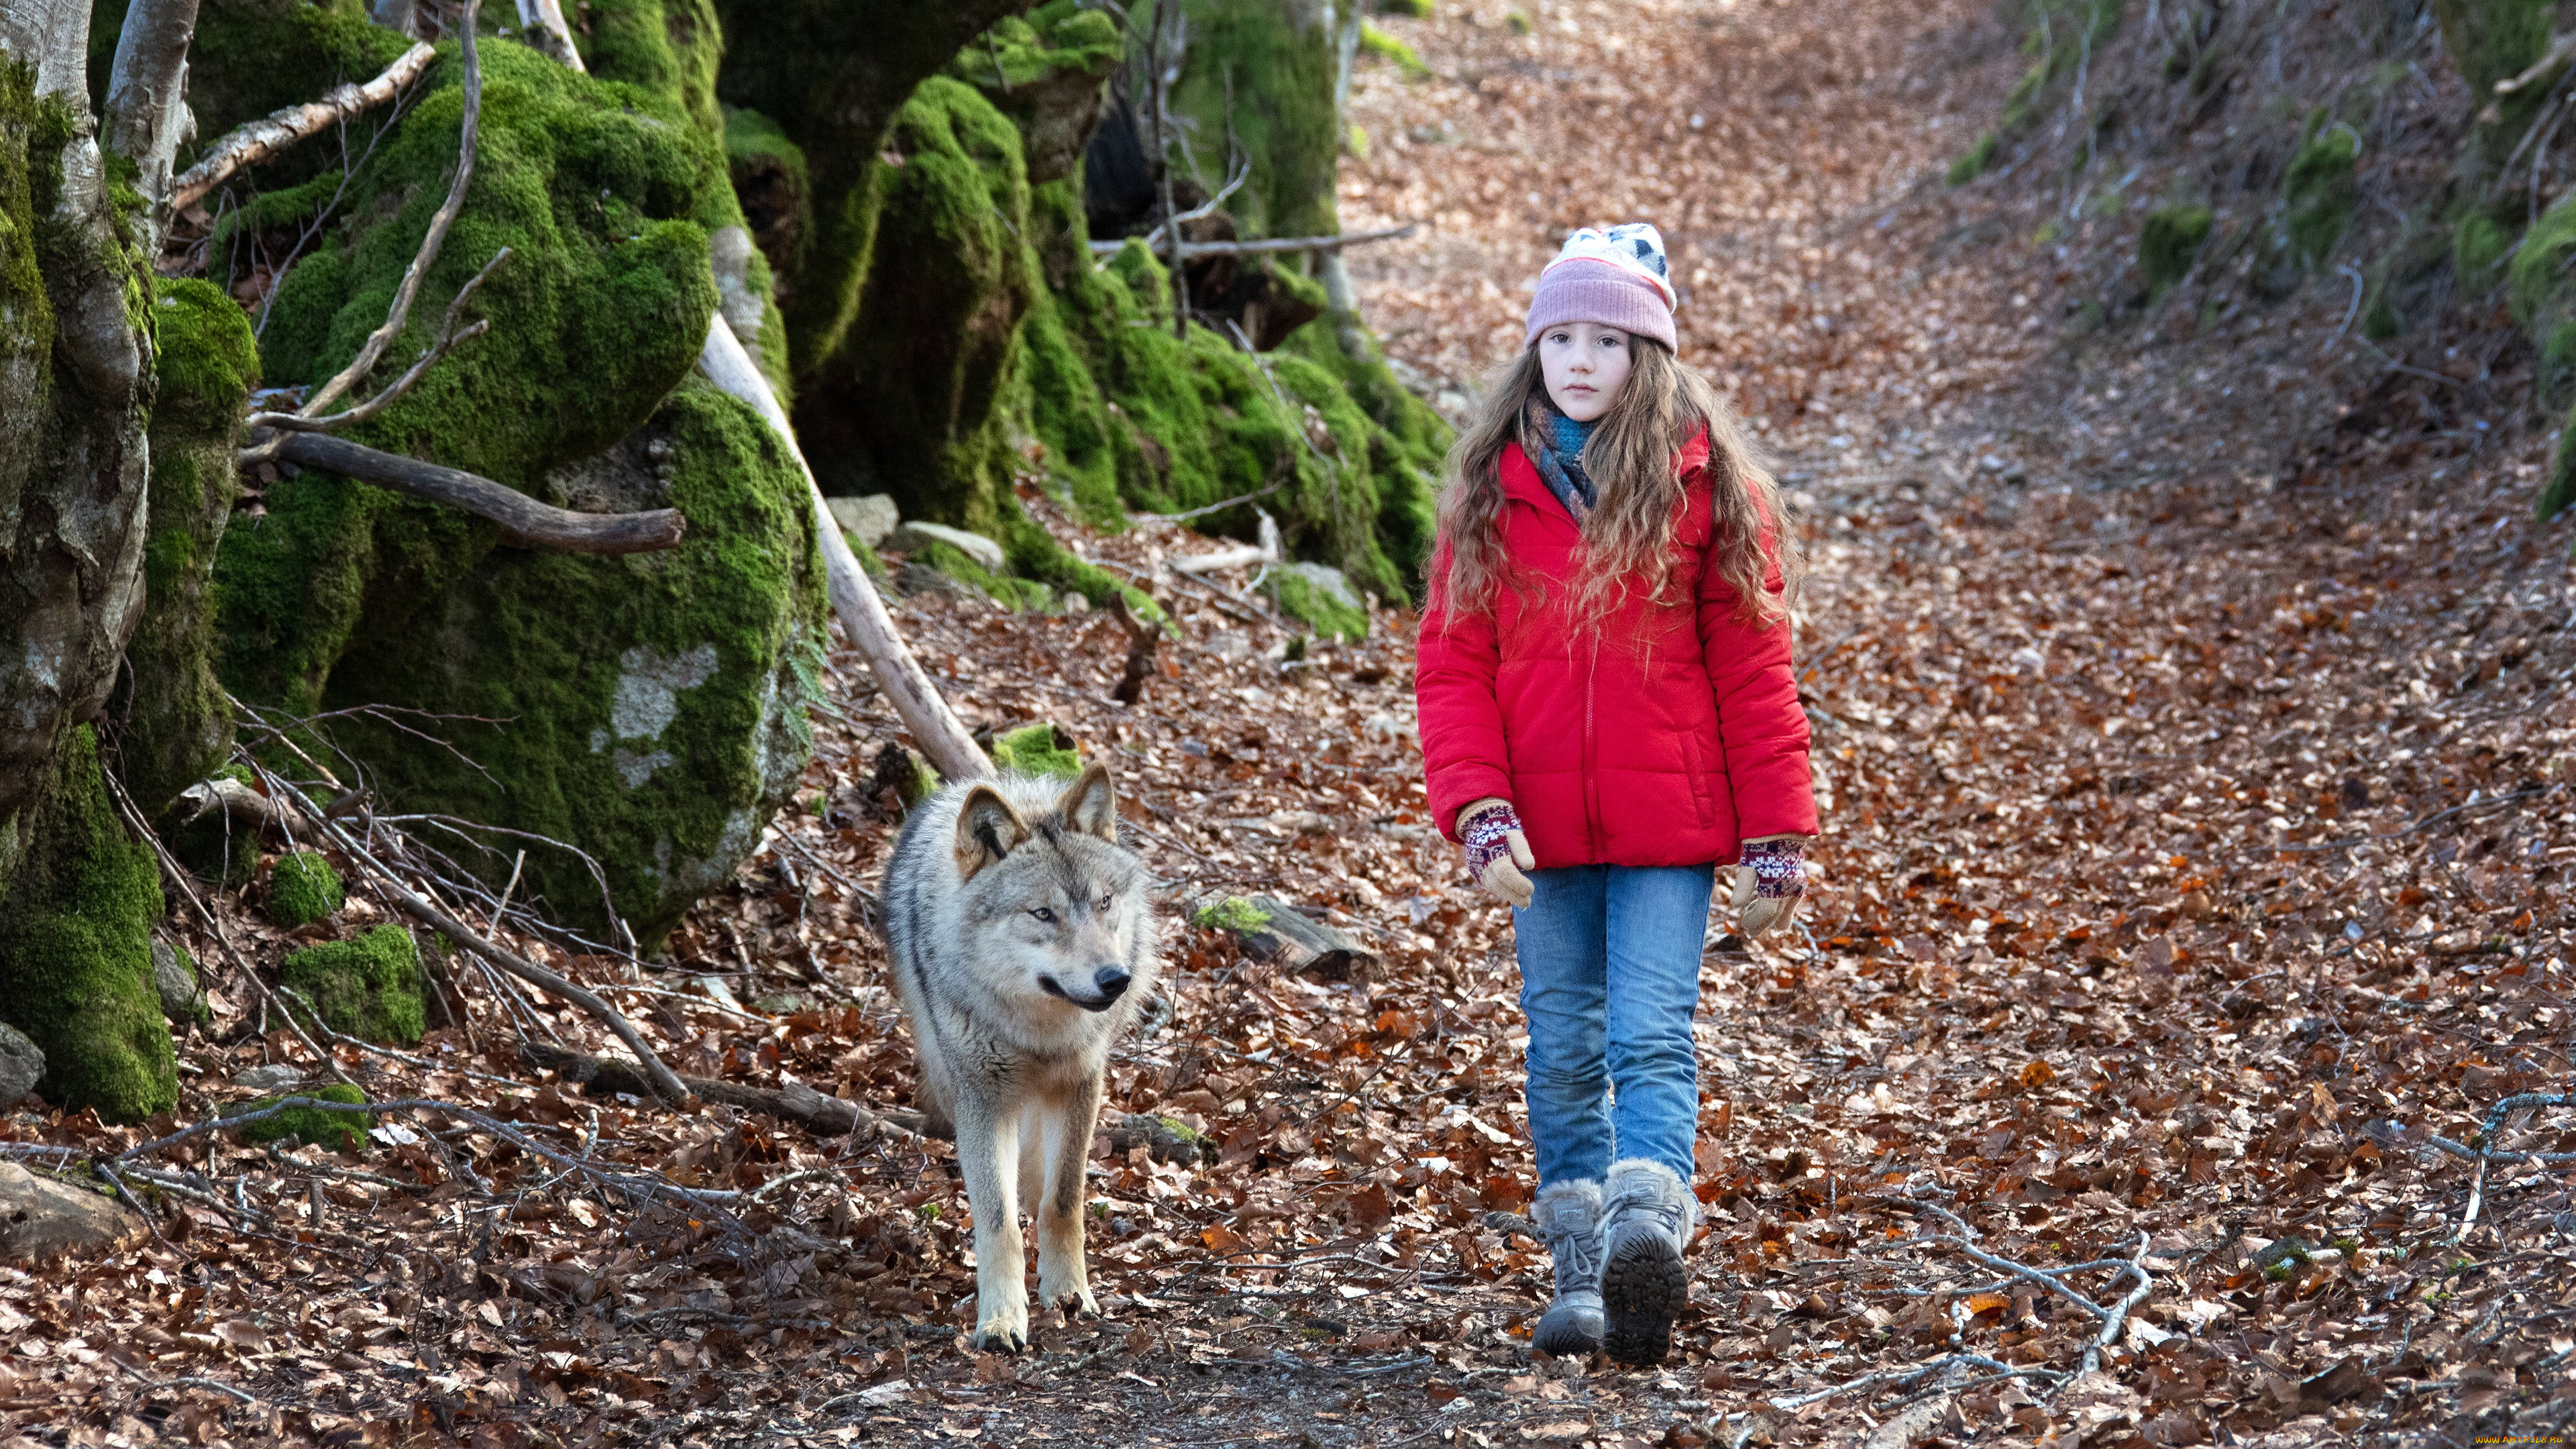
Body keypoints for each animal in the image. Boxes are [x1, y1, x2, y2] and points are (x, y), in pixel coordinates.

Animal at [885, 763, 1169, 1350]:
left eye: (1104, 903)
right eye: (1044, 914)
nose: (1116, 979)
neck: (1039, 1034)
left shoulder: (1081, 1083)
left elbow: (1063, 1201)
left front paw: (1069, 1295)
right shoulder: (983, 1100)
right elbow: (998, 1223)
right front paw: (1000, 1320)